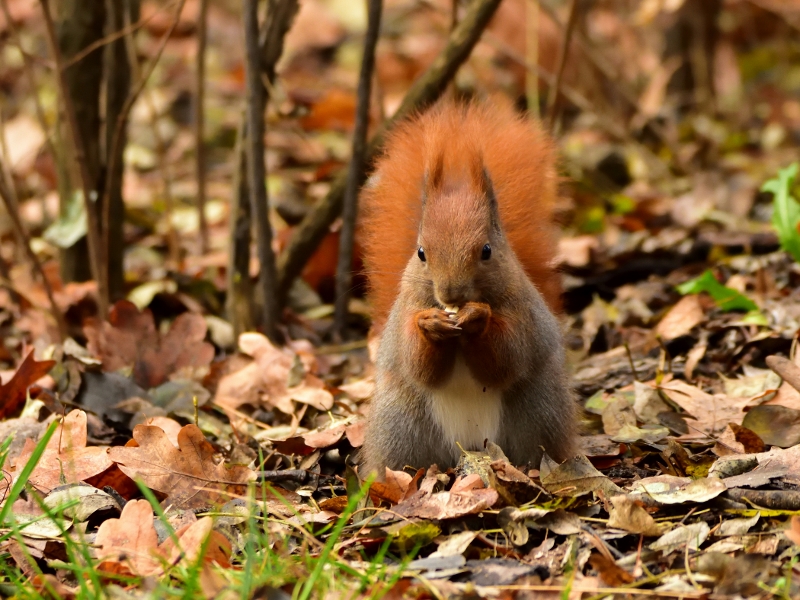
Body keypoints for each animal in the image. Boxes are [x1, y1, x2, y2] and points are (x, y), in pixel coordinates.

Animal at [360, 98, 580, 476]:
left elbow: (508, 357)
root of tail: (471, 445)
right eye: (421, 252)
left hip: (538, 411)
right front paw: (430, 324)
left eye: (486, 251)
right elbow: (417, 362)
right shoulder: (406, 310)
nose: (450, 294)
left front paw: (478, 318)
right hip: (401, 426)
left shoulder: (521, 311)